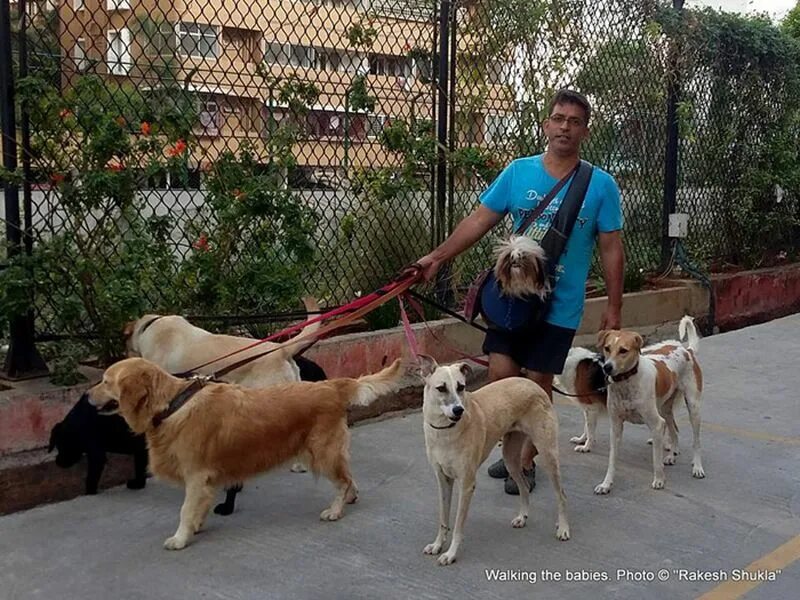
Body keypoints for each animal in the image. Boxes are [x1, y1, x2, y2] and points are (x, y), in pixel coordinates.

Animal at [418, 356, 568, 568]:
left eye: (461, 387)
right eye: (441, 388)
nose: (458, 410)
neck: (445, 429)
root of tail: (533, 384)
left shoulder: (467, 485)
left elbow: (458, 525)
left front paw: (451, 553)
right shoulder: (443, 480)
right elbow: (443, 518)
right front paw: (438, 544)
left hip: (548, 455)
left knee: (561, 494)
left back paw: (563, 528)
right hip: (510, 459)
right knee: (523, 486)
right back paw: (522, 517)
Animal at [592, 316, 708, 494]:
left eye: (623, 350)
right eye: (607, 348)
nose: (607, 367)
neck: (627, 381)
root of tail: (686, 350)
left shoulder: (656, 424)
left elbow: (656, 458)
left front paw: (659, 480)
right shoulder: (616, 426)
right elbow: (612, 460)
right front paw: (606, 484)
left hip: (693, 407)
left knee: (697, 441)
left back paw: (697, 467)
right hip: (665, 409)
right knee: (674, 429)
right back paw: (672, 454)